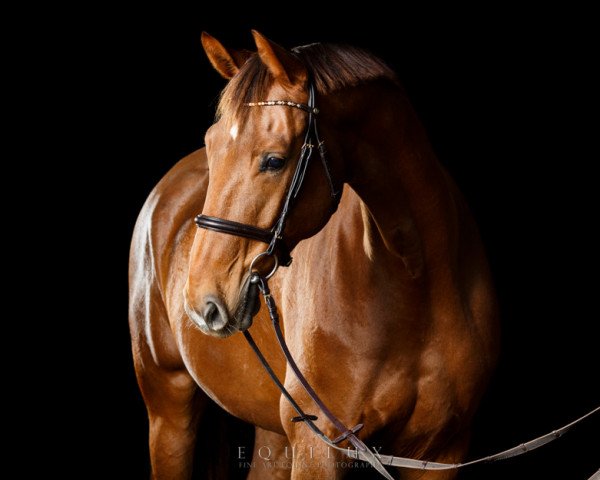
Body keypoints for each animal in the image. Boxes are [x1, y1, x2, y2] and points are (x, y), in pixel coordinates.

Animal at [130, 31, 502, 480]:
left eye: (274, 160)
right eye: (211, 145)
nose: (202, 303)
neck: (415, 280)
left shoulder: (441, 454)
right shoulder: (319, 446)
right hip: (168, 410)